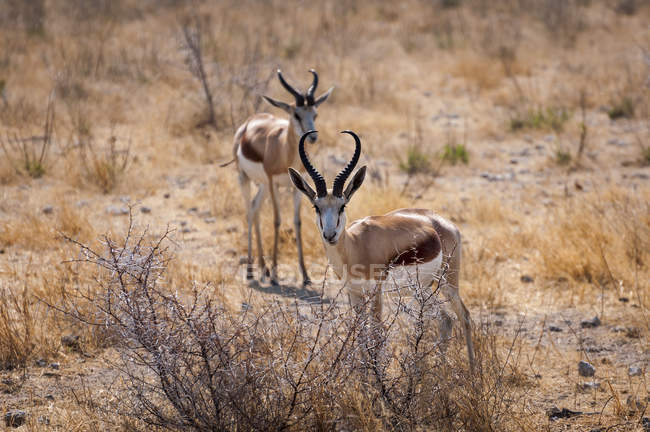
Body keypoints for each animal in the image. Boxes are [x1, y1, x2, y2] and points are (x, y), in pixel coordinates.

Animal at [230, 69, 332, 286]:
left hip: (261, 185)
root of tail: (248, 123)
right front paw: (276, 274)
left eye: (315, 114)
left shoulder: (296, 188)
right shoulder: (273, 183)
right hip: (245, 179)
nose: (312, 137)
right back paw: (251, 271)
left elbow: (297, 222)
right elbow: (277, 220)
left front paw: (305, 275)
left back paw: (263, 268)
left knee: (255, 208)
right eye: (296, 114)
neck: (285, 152)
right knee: (249, 212)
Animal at [288, 130, 476, 370]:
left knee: (465, 316)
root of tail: (444, 223)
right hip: (421, 288)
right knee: (446, 319)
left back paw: (473, 372)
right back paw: (440, 370)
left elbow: (375, 334)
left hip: (447, 282)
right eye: (316, 207)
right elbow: (360, 335)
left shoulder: (376, 291)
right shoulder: (354, 292)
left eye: (342, 206)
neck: (355, 247)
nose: (330, 235)